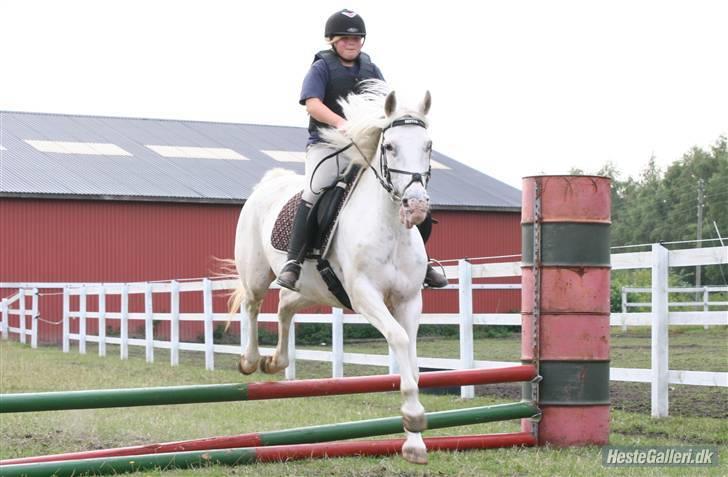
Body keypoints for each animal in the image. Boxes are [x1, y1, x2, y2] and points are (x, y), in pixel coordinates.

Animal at [229, 81, 432, 462]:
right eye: (390, 146)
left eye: (428, 146)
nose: (416, 206)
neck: (390, 229)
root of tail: (269, 184)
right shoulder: (365, 295)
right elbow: (398, 338)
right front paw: (414, 418)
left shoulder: (410, 299)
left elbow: (411, 355)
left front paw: (414, 443)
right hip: (256, 274)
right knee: (253, 304)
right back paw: (251, 361)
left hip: (315, 290)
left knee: (285, 306)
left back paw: (276, 362)